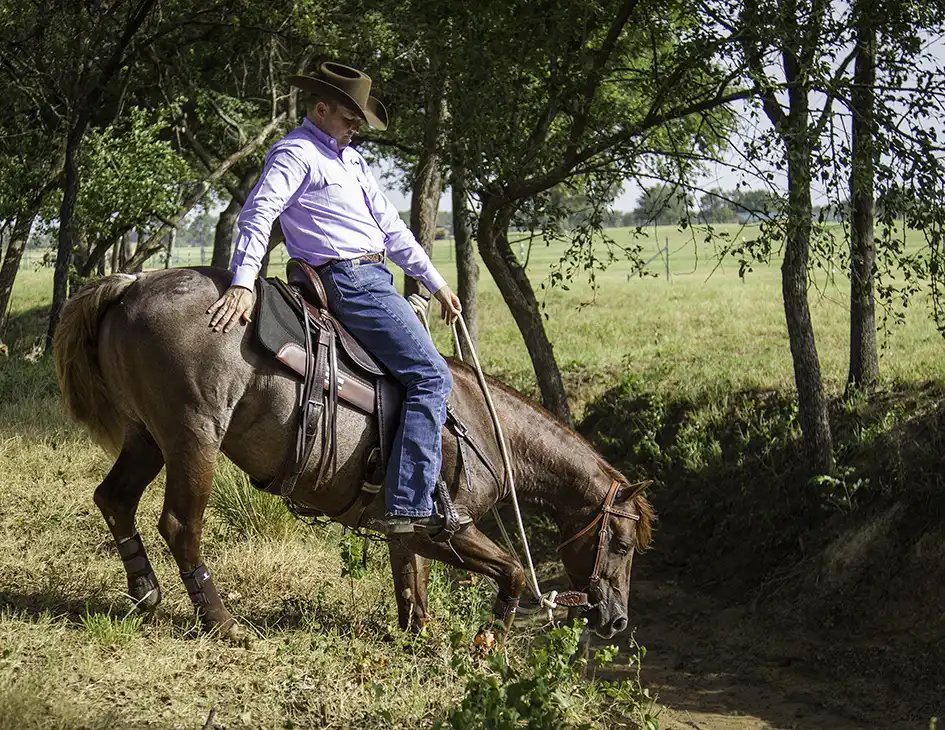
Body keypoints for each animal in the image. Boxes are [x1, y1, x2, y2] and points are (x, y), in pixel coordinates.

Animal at [53, 266, 654, 642]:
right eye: (622, 544)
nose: (618, 622)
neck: (482, 425)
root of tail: (133, 284)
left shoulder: (407, 528)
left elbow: (411, 586)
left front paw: (422, 638)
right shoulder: (450, 528)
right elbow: (513, 573)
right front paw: (488, 640)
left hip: (146, 438)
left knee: (113, 498)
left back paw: (145, 592)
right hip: (193, 438)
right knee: (180, 524)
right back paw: (222, 623)